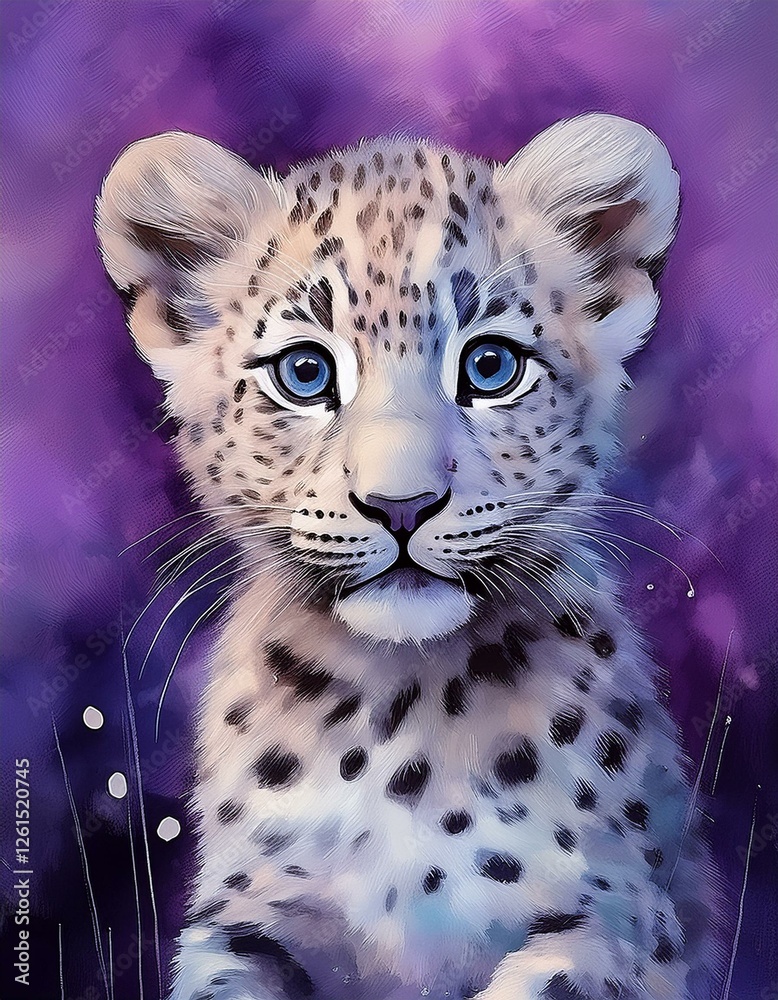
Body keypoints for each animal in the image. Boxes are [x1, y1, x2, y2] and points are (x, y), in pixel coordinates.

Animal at [95, 114, 720, 1000]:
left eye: (491, 366)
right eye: (305, 371)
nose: (401, 505)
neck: (397, 712)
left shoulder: (624, 919)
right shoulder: (242, 920)